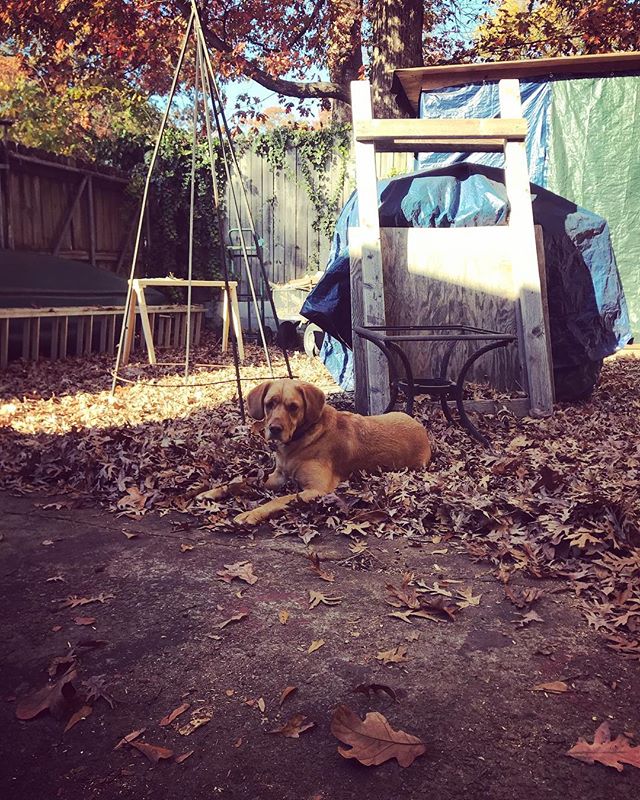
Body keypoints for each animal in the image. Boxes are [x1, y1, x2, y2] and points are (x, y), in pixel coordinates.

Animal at [198, 380, 432, 528]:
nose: (274, 429)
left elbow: (277, 500)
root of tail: (421, 429)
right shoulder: (277, 477)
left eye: (293, 407)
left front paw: (251, 514)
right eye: (269, 404)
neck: (298, 441)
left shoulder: (316, 490)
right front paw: (211, 492)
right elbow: (240, 481)